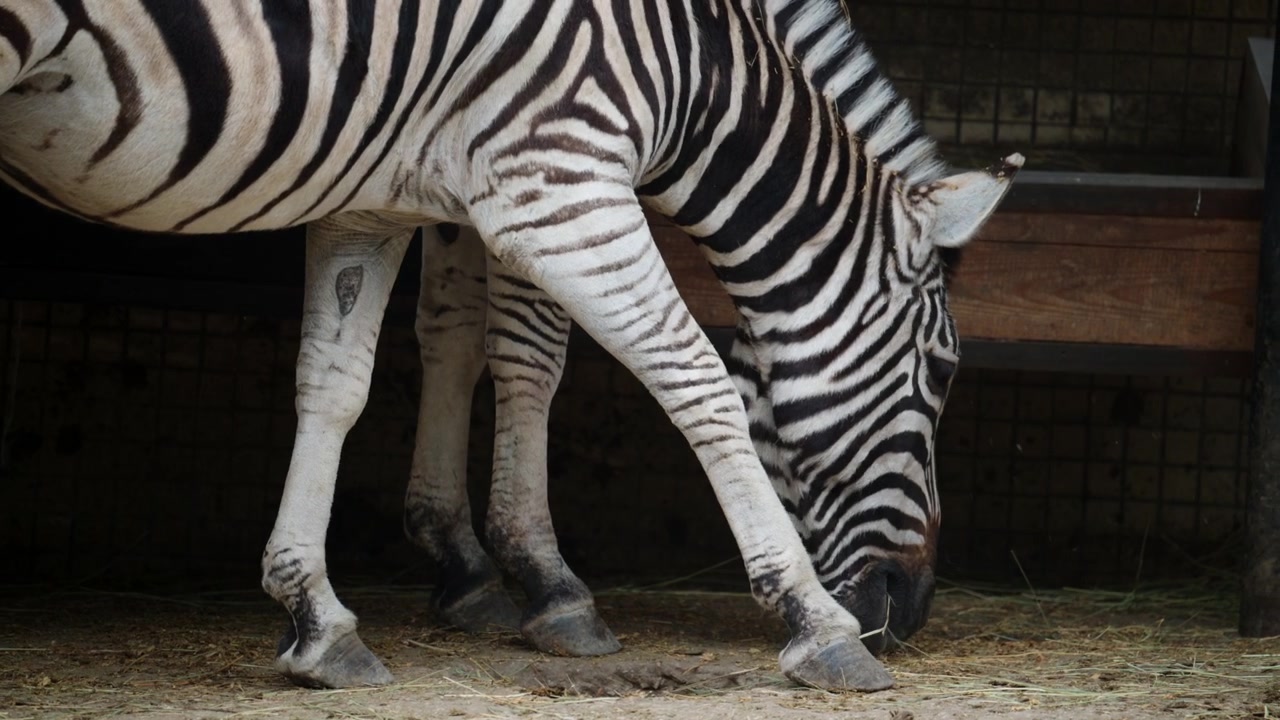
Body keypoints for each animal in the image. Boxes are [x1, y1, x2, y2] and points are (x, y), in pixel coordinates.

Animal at [0, 0, 1020, 692]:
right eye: (944, 371)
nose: (911, 610)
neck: (693, 59)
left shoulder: (385, 196)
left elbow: (352, 373)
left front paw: (326, 611)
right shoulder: (553, 179)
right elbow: (647, 371)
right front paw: (806, 620)